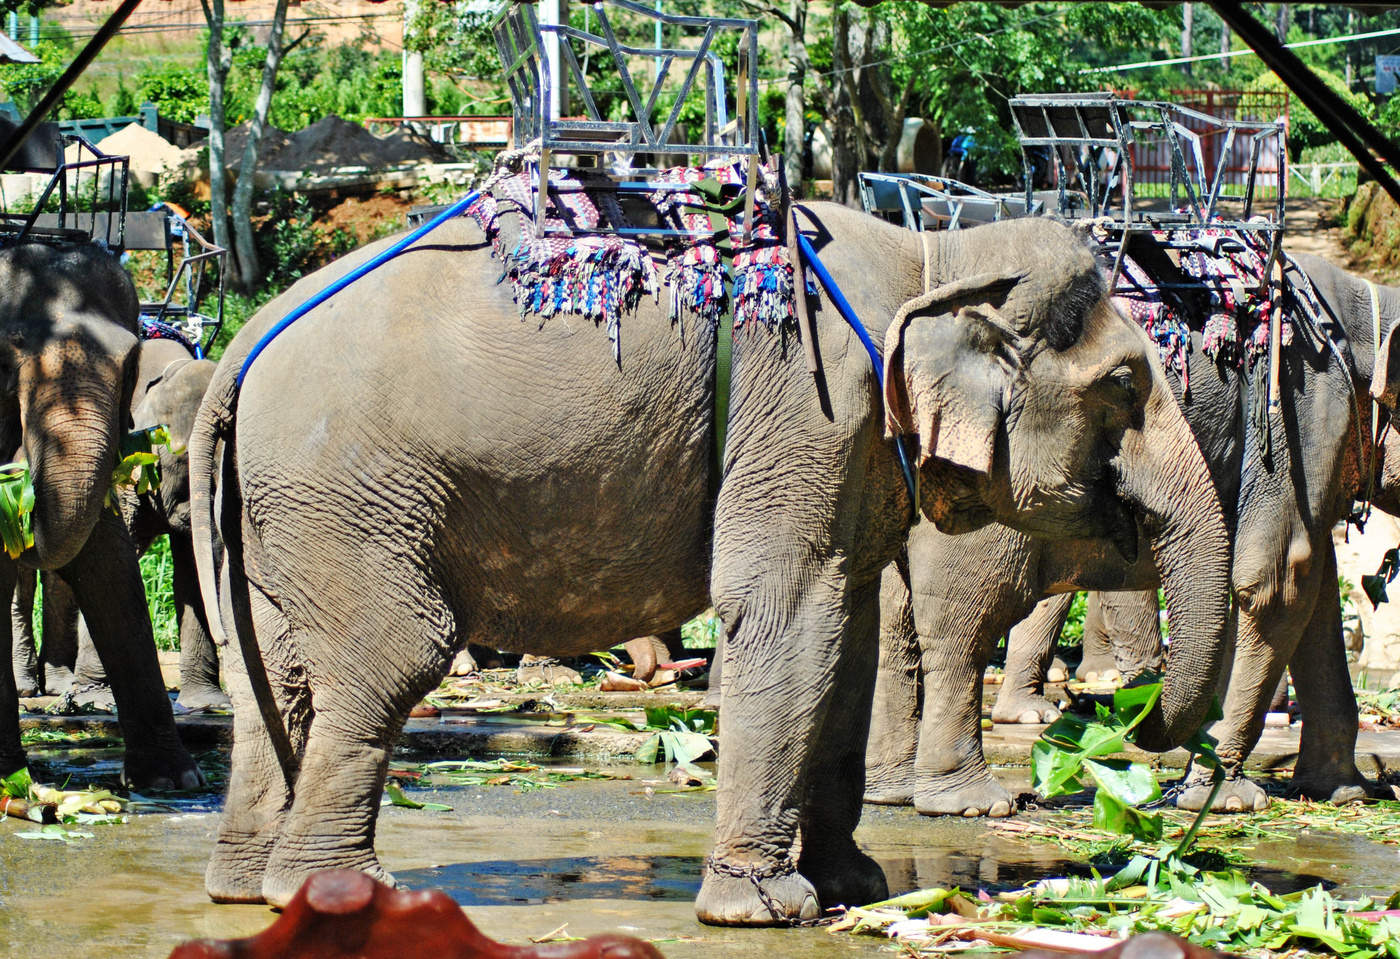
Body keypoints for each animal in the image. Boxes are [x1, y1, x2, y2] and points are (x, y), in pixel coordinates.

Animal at [0, 241, 202, 790]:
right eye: (5, 355)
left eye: (131, 362)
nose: (20, 482)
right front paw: (13, 780)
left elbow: (109, 563)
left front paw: (173, 781)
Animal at [11, 337, 227, 711]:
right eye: (184, 456)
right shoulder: (122, 468)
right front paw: (97, 700)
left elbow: (190, 573)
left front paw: (207, 704)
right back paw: (28, 689)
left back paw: (58, 685)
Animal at [187, 204, 1231, 920]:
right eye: (1124, 383)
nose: (1131, 725)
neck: (936, 254)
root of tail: (238, 349)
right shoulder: (811, 405)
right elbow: (790, 615)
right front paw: (768, 908)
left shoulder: (852, 448)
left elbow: (849, 633)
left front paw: (857, 884)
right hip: (352, 493)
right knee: (391, 660)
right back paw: (337, 895)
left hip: (284, 512)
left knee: (277, 676)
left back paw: (241, 886)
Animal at [866, 249, 1400, 817]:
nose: (1130, 717)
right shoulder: (1304, 411)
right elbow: (1276, 579)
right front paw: (1222, 800)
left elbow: (1315, 591)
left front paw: (1347, 791)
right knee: (965, 618)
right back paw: (973, 800)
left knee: (896, 617)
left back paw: (894, 792)